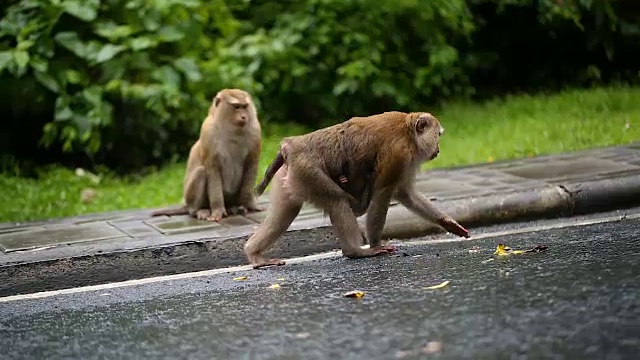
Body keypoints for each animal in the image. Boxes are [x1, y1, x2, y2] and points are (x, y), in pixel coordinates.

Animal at [151, 88, 264, 221]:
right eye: (236, 106)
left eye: (245, 106)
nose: (243, 116)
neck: (232, 129)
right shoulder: (208, 132)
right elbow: (212, 167)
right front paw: (218, 210)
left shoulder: (255, 130)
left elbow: (251, 165)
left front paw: (250, 204)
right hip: (189, 197)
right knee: (201, 172)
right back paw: (199, 210)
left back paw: (232, 207)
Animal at [245, 111, 470, 268]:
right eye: (437, 135)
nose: (438, 149)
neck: (407, 131)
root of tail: (291, 145)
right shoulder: (399, 153)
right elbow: (384, 192)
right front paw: (376, 244)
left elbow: (404, 193)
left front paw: (448, 222)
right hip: (308, 169)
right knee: (337, 201)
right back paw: (355, 251)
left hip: (293, 174)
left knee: (285, 213)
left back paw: (254, 254)